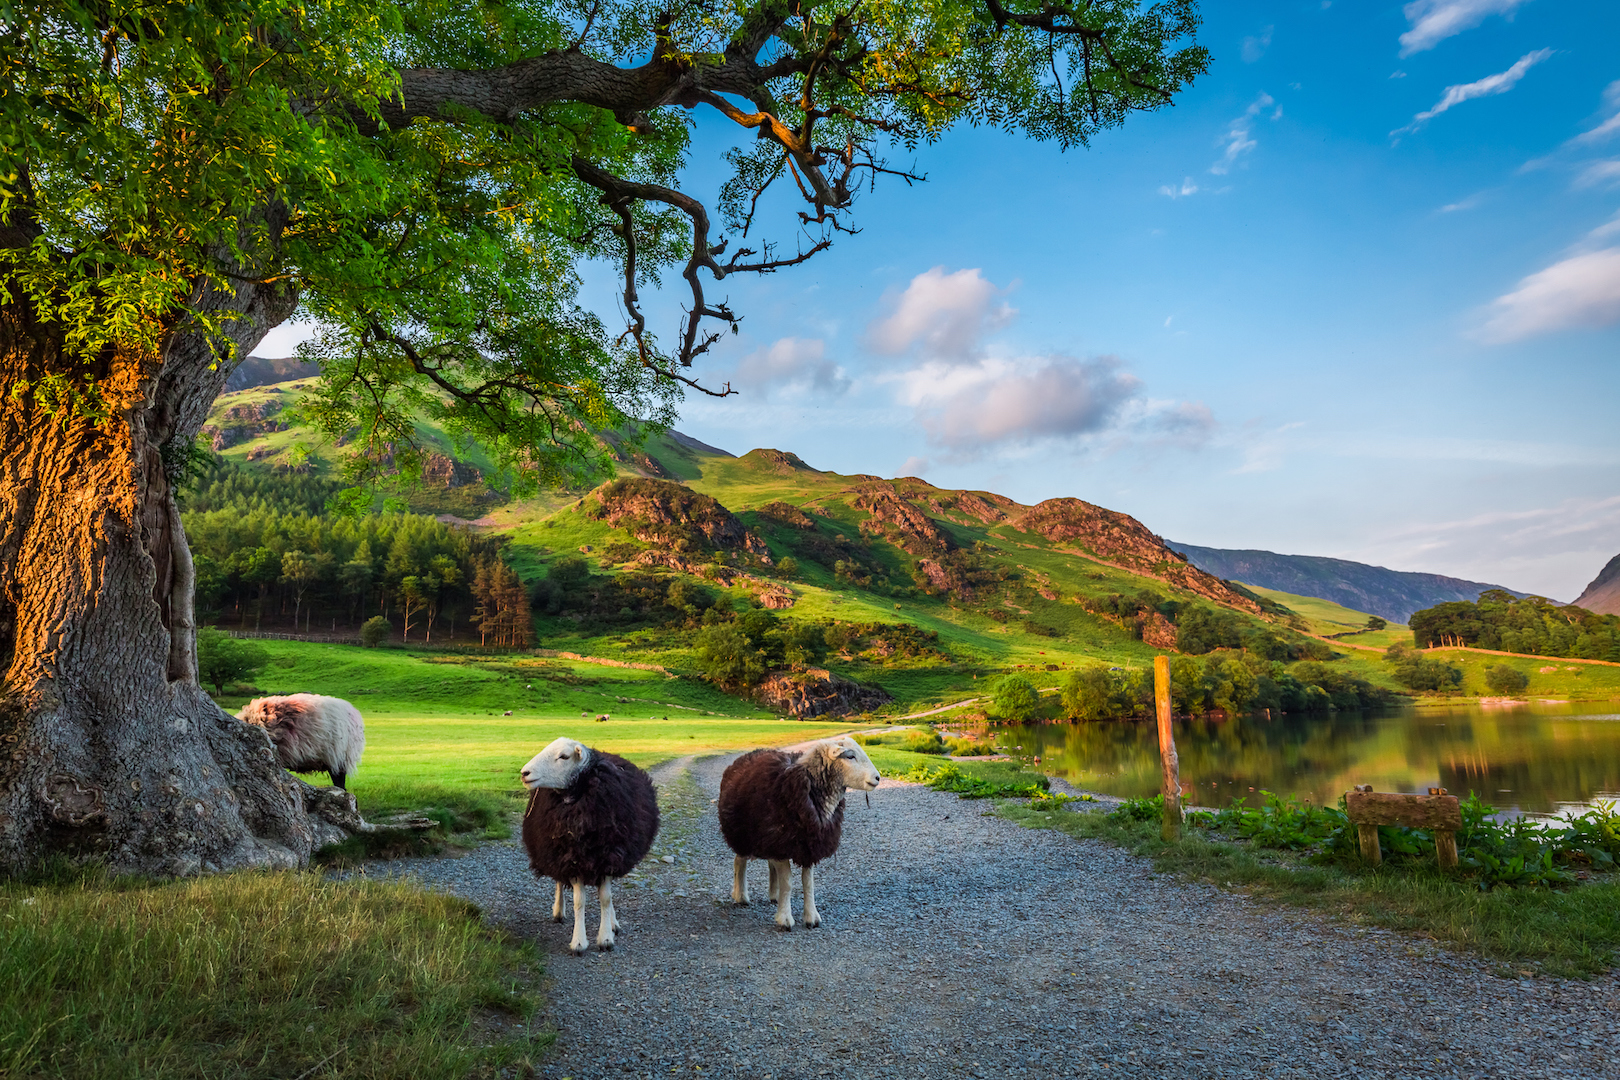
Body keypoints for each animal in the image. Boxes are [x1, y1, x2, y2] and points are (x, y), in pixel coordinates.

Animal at [524, 735, 664, 952]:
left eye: (564, 756)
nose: (524, 773)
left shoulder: (609, 856)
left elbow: (605, 898)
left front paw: (605, 938)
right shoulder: (571, 859)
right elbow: (579, 901)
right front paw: (579, 941)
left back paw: (613, 923)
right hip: (554, 853)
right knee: (558, 881)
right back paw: (558, 911)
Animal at [716, 738, 881, 932]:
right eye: (850, 756)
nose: (878, 778)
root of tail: (750, 754)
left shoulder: (808, 845)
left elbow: (808, 883)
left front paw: (812, 918)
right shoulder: (783, 841)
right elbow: (788, 883)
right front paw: (785, 919)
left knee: (769, 864)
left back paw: (774, 894)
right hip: (744, 834)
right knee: (739, 862)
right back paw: (741, 895)